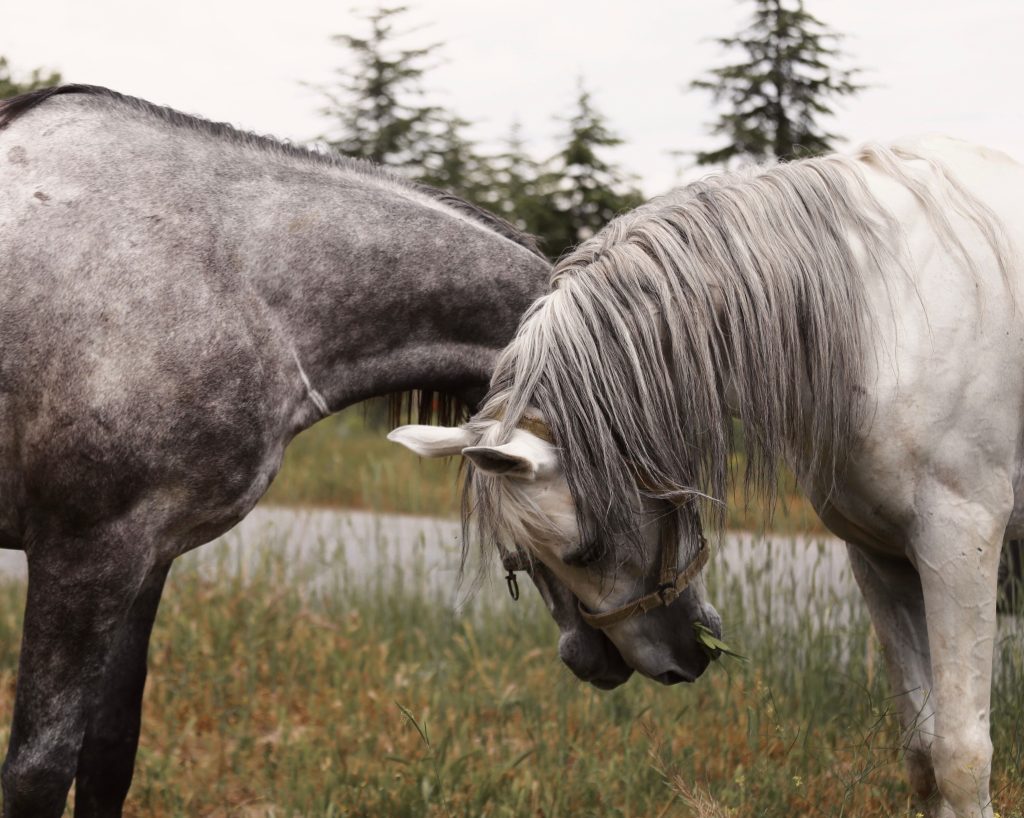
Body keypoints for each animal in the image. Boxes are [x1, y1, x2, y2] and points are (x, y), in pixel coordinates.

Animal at [389, 136, 1024, 818]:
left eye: (587, 552)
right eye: (522, 564)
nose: (676, 660)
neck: (881, 315)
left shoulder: (958, 545)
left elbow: (961, 758)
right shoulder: (882, 559)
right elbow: (923, 754)